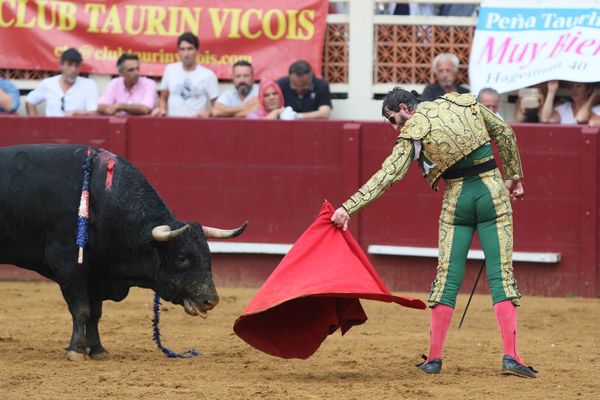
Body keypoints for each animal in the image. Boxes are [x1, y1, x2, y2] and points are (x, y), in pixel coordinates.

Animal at [0, 145, 246, 360]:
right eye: (182, 258)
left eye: (208, 255)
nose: (210, 300)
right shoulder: (70, 268)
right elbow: (81, 310)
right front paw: (77, 351)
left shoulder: (97, 274)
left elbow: (95, 313)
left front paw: (98, 350)